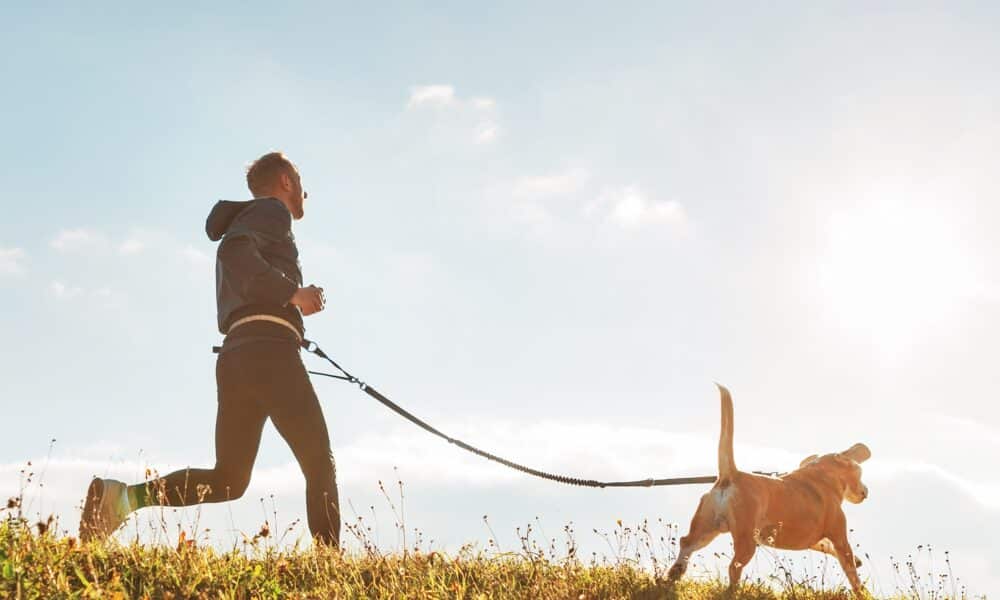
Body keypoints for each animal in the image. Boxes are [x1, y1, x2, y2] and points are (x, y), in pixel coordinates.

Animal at [668, 384, 872, 596]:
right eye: (860, 472)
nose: (866, 490)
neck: (821, 475)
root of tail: (731, 474)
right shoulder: (839, 537)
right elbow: (851, 571)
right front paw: (862, 592)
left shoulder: (815, 540)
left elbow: (827, 547)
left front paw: (858, 561)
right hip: (746, 539)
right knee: (734, 567)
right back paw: (732, 591)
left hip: (706, 528)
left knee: (686, 544)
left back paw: (674, 575)